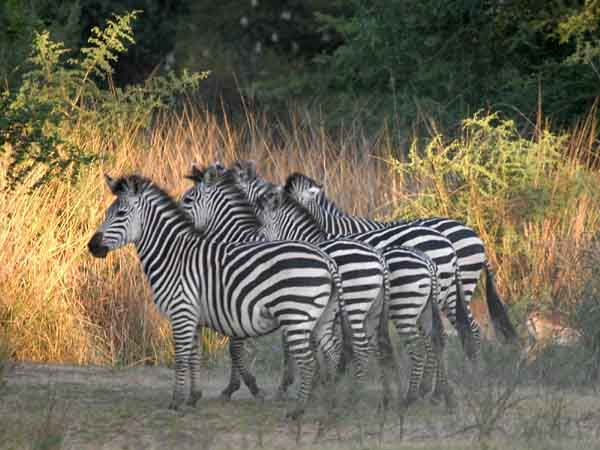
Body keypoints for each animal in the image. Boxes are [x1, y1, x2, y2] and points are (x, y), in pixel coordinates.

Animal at [86, 173, 344, 418]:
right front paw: (193, 397)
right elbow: (194, 356)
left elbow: (181, 358)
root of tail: (325, 259)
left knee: (309, 362)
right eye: (108, 213)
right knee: (332, 352)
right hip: (321, 318)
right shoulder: (193, 317)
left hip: (296, 316)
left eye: (121, 213)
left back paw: (298, 410)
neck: (174, 256)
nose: (92, 246)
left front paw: (176, 402)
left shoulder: (181, 312)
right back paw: (330, 403)